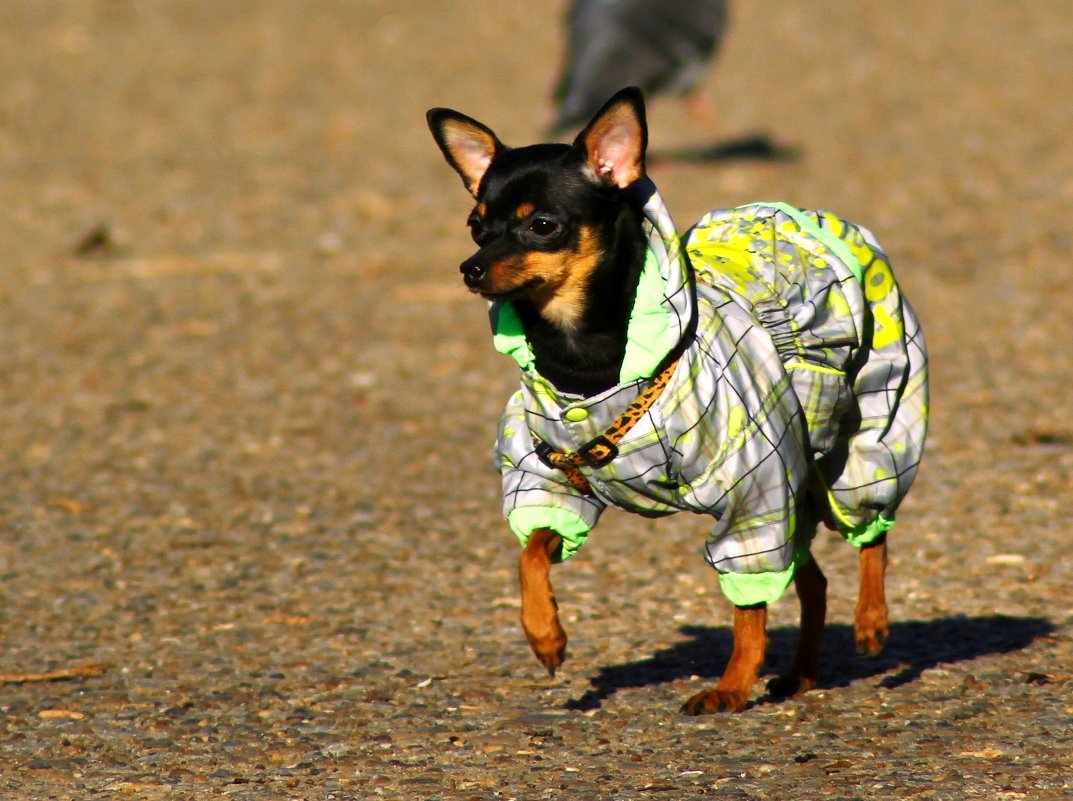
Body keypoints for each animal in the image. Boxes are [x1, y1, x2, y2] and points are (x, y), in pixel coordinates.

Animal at [422, 87, 927, 716]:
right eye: (475, 225)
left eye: (542, 225)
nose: (470, 268)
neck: (583, 359)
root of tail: (820, 219)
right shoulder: (551, 480)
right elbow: (531, 553)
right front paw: (545, 634)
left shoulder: (752, 493)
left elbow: (748, 610)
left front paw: (732, 685)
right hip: (797, 482)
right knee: (811, 579)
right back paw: (801, 674)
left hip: (861, 440)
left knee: (870, 534)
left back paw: (871, 622)